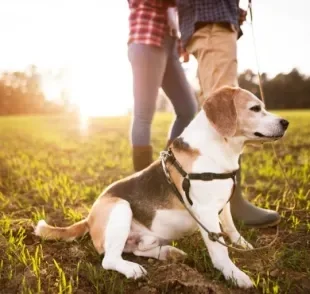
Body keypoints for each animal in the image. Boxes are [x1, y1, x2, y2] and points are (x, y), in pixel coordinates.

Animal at [35, 86, 290, 288]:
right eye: (255, 108)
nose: (285, 122)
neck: (218, 148)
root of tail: (89, 217)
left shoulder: (223, 203)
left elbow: (232, 229)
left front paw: (244, 245)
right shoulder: (206, 213)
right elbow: (220, 250)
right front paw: (235, 276)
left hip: (142, 234)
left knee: (139, 249)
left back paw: (170, 253)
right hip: (121, 207)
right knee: (110, 259)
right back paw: (133, 270)